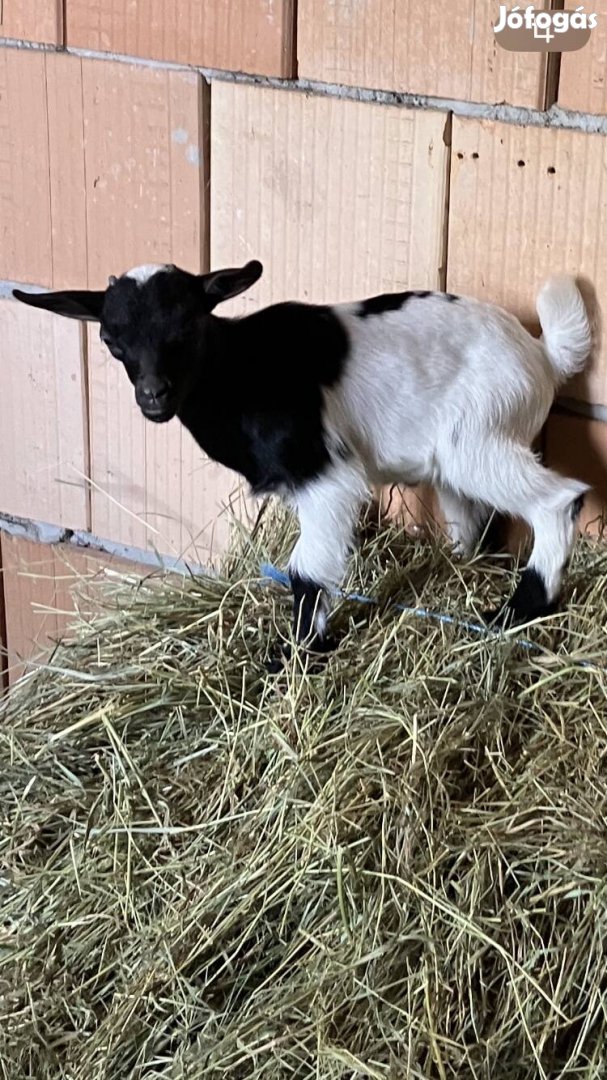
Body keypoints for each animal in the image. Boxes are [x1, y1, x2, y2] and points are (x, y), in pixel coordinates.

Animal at [12, 261, 591, 656]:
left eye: (189, 327)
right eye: (112, 339)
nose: (154, 395)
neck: (237, 371)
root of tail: (541, 355)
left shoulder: (325, 476)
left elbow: (306, 570)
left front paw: (294, 655)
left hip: (479, 440)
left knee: (560, 499)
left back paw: (515, 612)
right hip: (460, 458)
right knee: (471, 522)